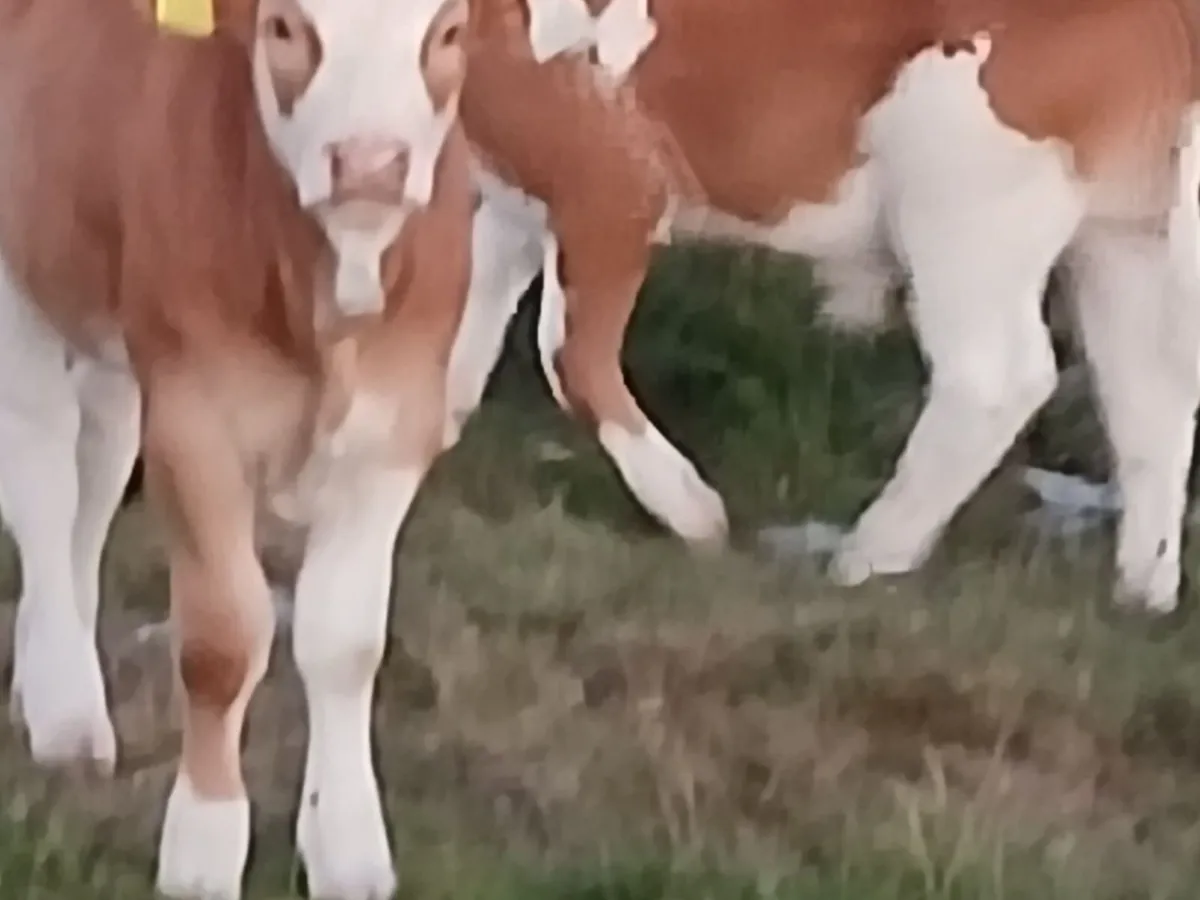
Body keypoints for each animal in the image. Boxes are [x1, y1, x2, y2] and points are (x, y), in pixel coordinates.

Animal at [0, 0, 478, 897]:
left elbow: (346, 642)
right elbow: (222, 645)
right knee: (41, 476)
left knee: (96, 471)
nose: (370, 165)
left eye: (448, 33)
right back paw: (64, 703)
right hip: (22, 288)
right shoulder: (197, 422)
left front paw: (346, 846)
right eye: (286, 27)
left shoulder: (397, 429)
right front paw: (204, 849)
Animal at [445, 0, 1200, 615]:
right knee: (1146, 393)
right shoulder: (502, 189)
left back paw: (869, 555)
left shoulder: (609, 176)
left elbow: (568, 354)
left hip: (963, 189)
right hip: (1121, 230)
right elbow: (457, 355)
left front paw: (696, 515)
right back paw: (1142, 590)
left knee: (999, 377)